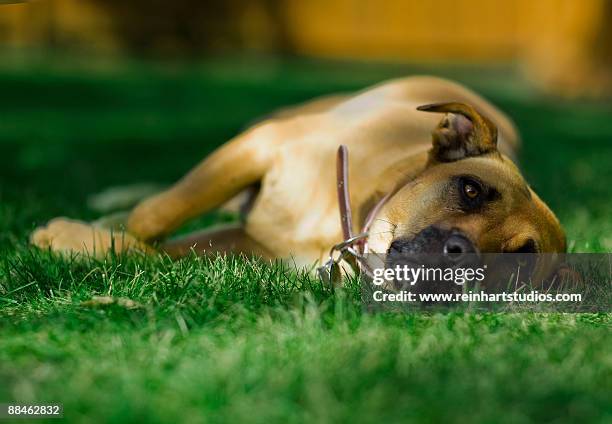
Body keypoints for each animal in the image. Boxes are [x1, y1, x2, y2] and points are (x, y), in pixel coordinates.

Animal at [29, 76, 564, 278]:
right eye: (470, 190)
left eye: (518, 262)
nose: (462, 255)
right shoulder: (257, 147)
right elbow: (153, 217)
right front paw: (85, 232)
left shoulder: (245, 247)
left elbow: (153, 251)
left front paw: (86, 242)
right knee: (154, 198)